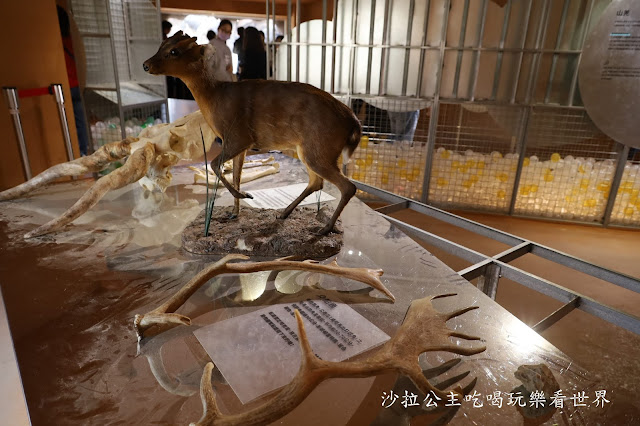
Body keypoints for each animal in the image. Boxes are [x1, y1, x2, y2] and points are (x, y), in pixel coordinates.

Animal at [143, 31, 362, 235]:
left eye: (174, 51)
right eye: (162, 44)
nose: (146, 65)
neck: (215, 98)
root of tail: (353, 122)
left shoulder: (238, 137)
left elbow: (214, 164)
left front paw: (244, 196)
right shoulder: (241, 146)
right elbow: (236, 176)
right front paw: (234, 213)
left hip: (319, 149)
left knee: (347, 186)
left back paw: (325, 228)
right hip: (306, 151)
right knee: (316, 182)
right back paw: (284, 213)